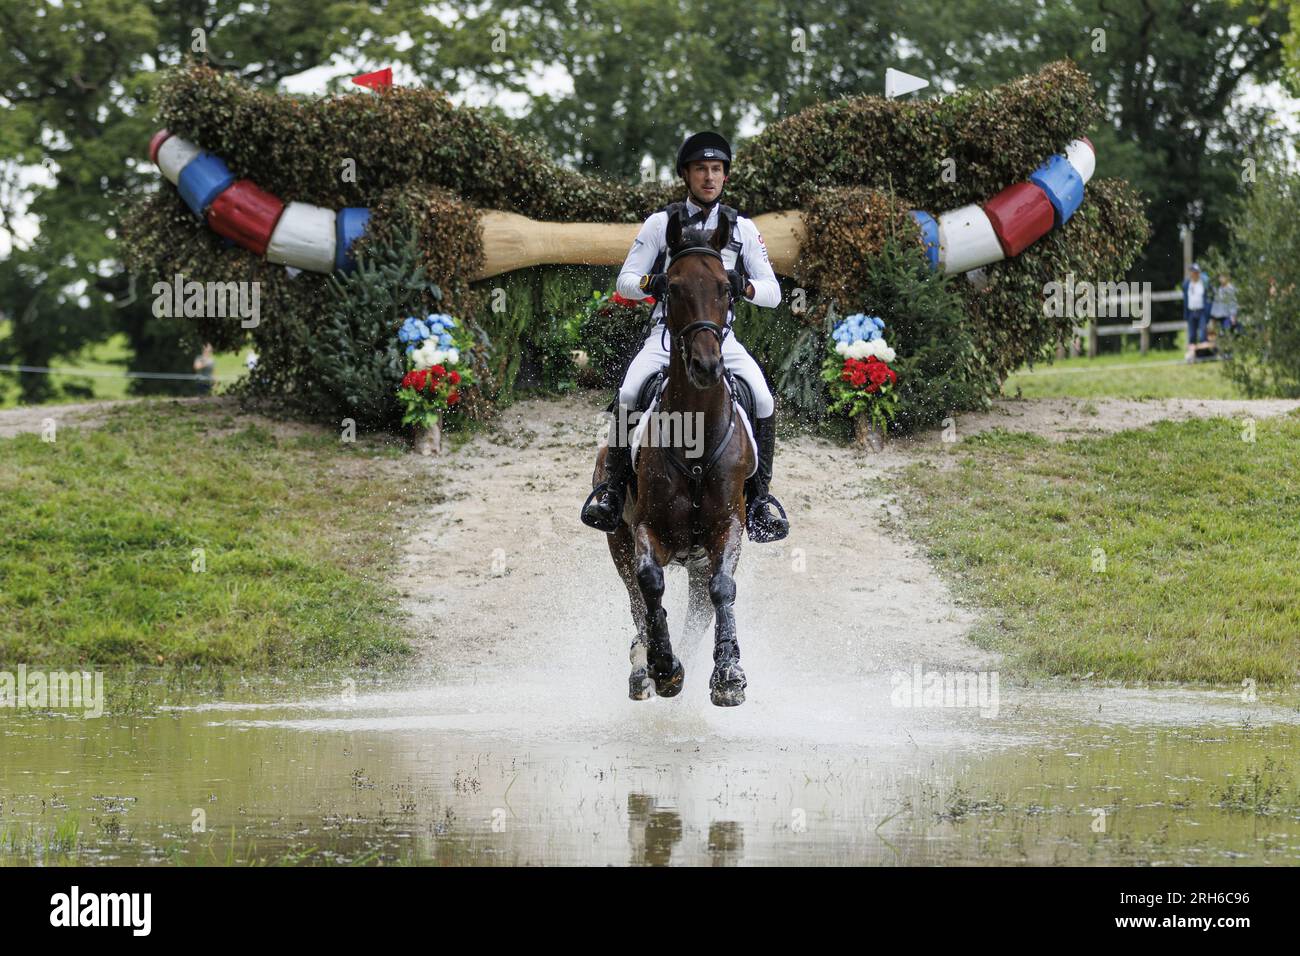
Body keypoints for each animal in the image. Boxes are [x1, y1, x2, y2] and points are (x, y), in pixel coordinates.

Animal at [590, 210, 754, 702]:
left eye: (724, 287)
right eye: (675, 287)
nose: (707, 366)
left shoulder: (727, 526)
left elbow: (724, 588)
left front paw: (728, 674)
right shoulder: (647, 528)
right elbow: (651, 584)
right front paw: (664, 668)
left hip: (696, 563)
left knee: (699, 610)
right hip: (618, 540)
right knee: (636, 598)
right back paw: (643, 667)